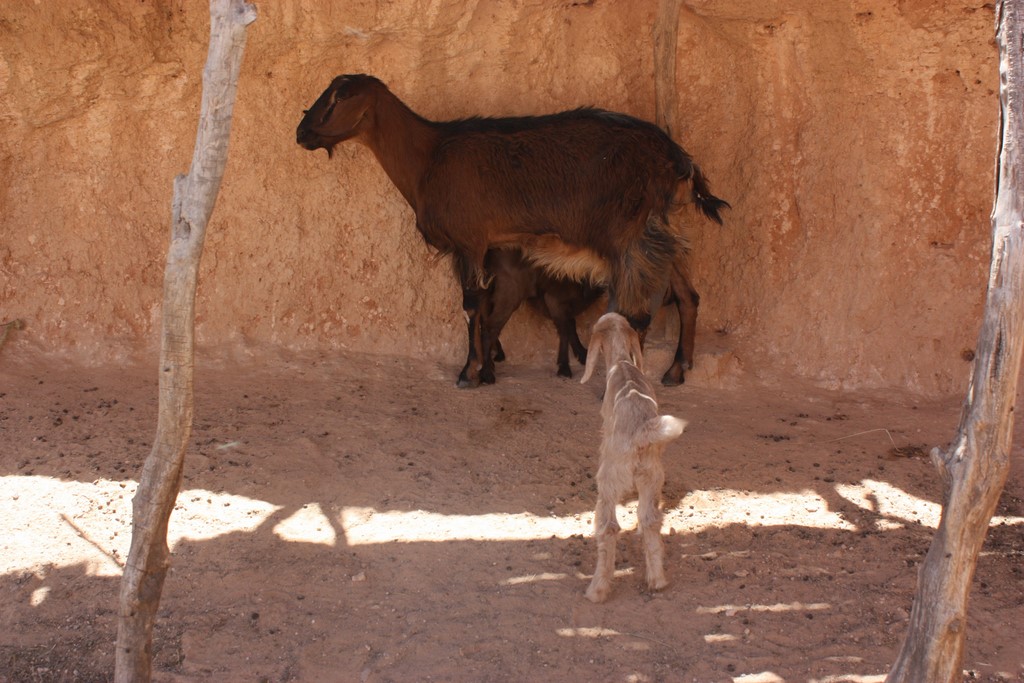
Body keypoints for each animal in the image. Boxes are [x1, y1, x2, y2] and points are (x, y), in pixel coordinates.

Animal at [473, 249, 701, 384]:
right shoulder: (555, 301)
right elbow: (566, 329)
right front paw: (566, 366)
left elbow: (570, 326)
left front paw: (579, 356)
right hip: (507, 294)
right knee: (490, 326)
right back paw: (487, 372)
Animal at [580, 312, 687, 603]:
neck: (622, 362)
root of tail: (641, 433)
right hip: (652, 476)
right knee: (650, 520)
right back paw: (657, 580)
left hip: (609, 478)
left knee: (609, 526)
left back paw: (597, 590)